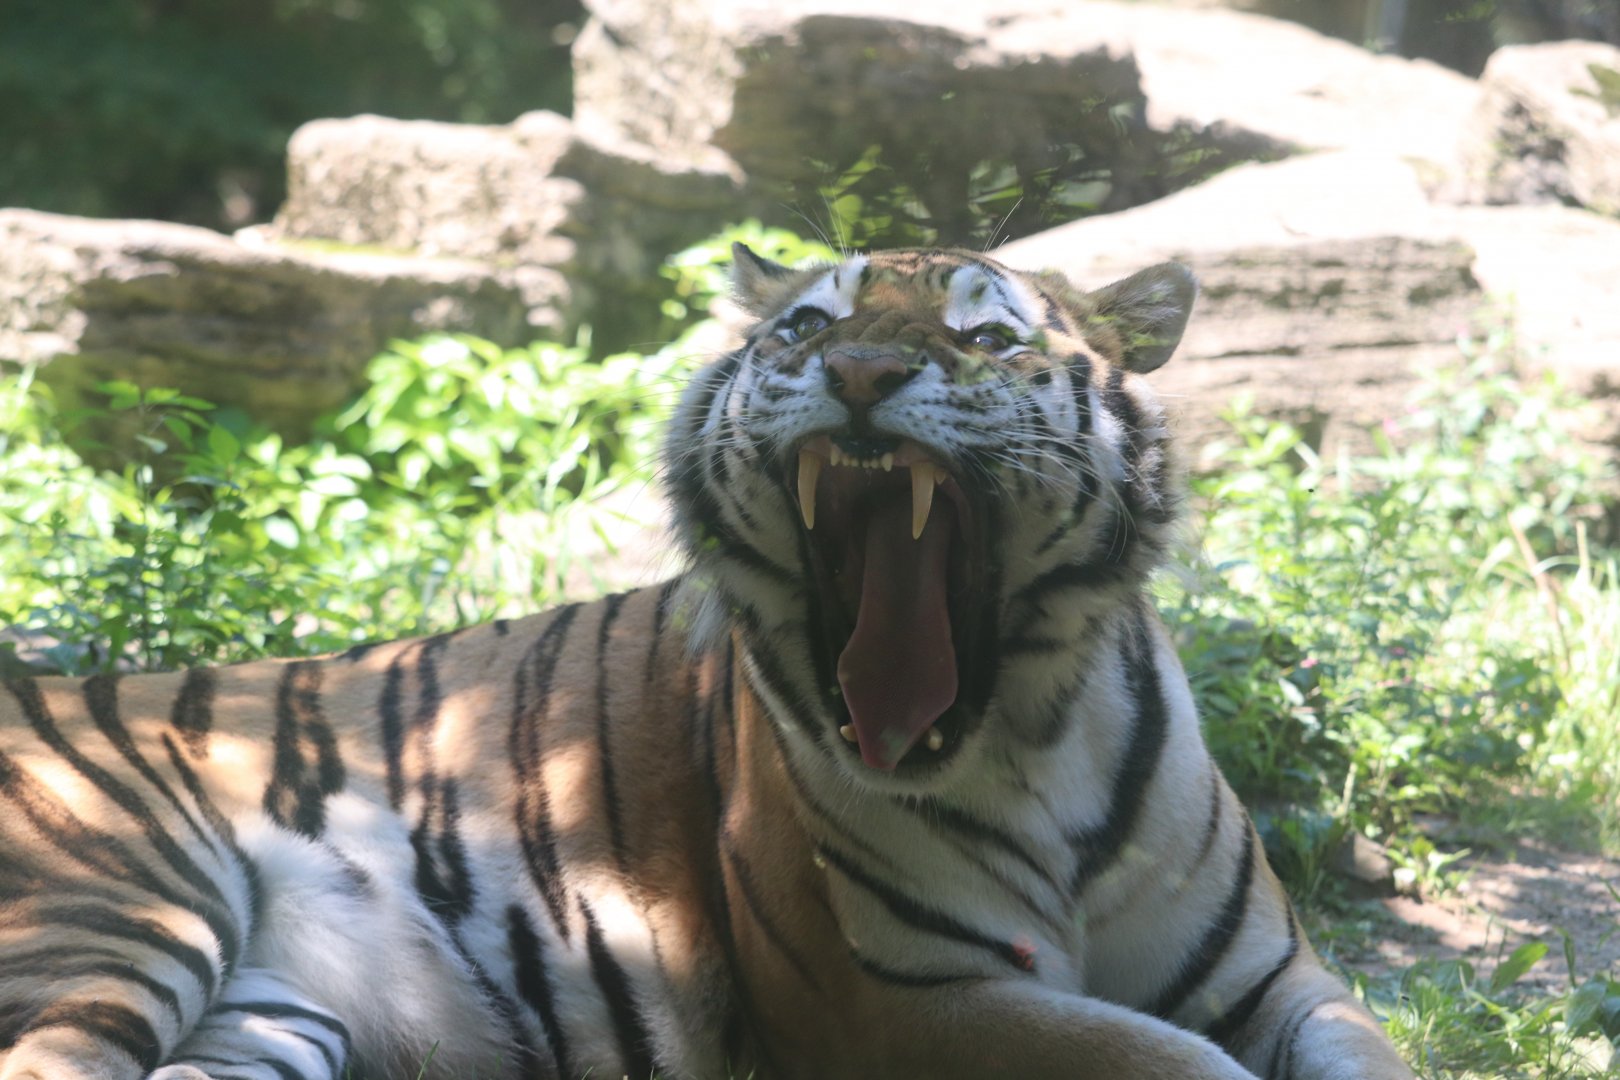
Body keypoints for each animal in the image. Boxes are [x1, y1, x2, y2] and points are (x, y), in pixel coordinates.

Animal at [0, 245, 1415, 1080]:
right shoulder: (900, 1000)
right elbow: (1179, 1065)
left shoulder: (1280, 979)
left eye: (988, 340)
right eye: (804, 324)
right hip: (115, 914)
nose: (860, 370)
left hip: (267, 1013)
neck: (1035, 729)